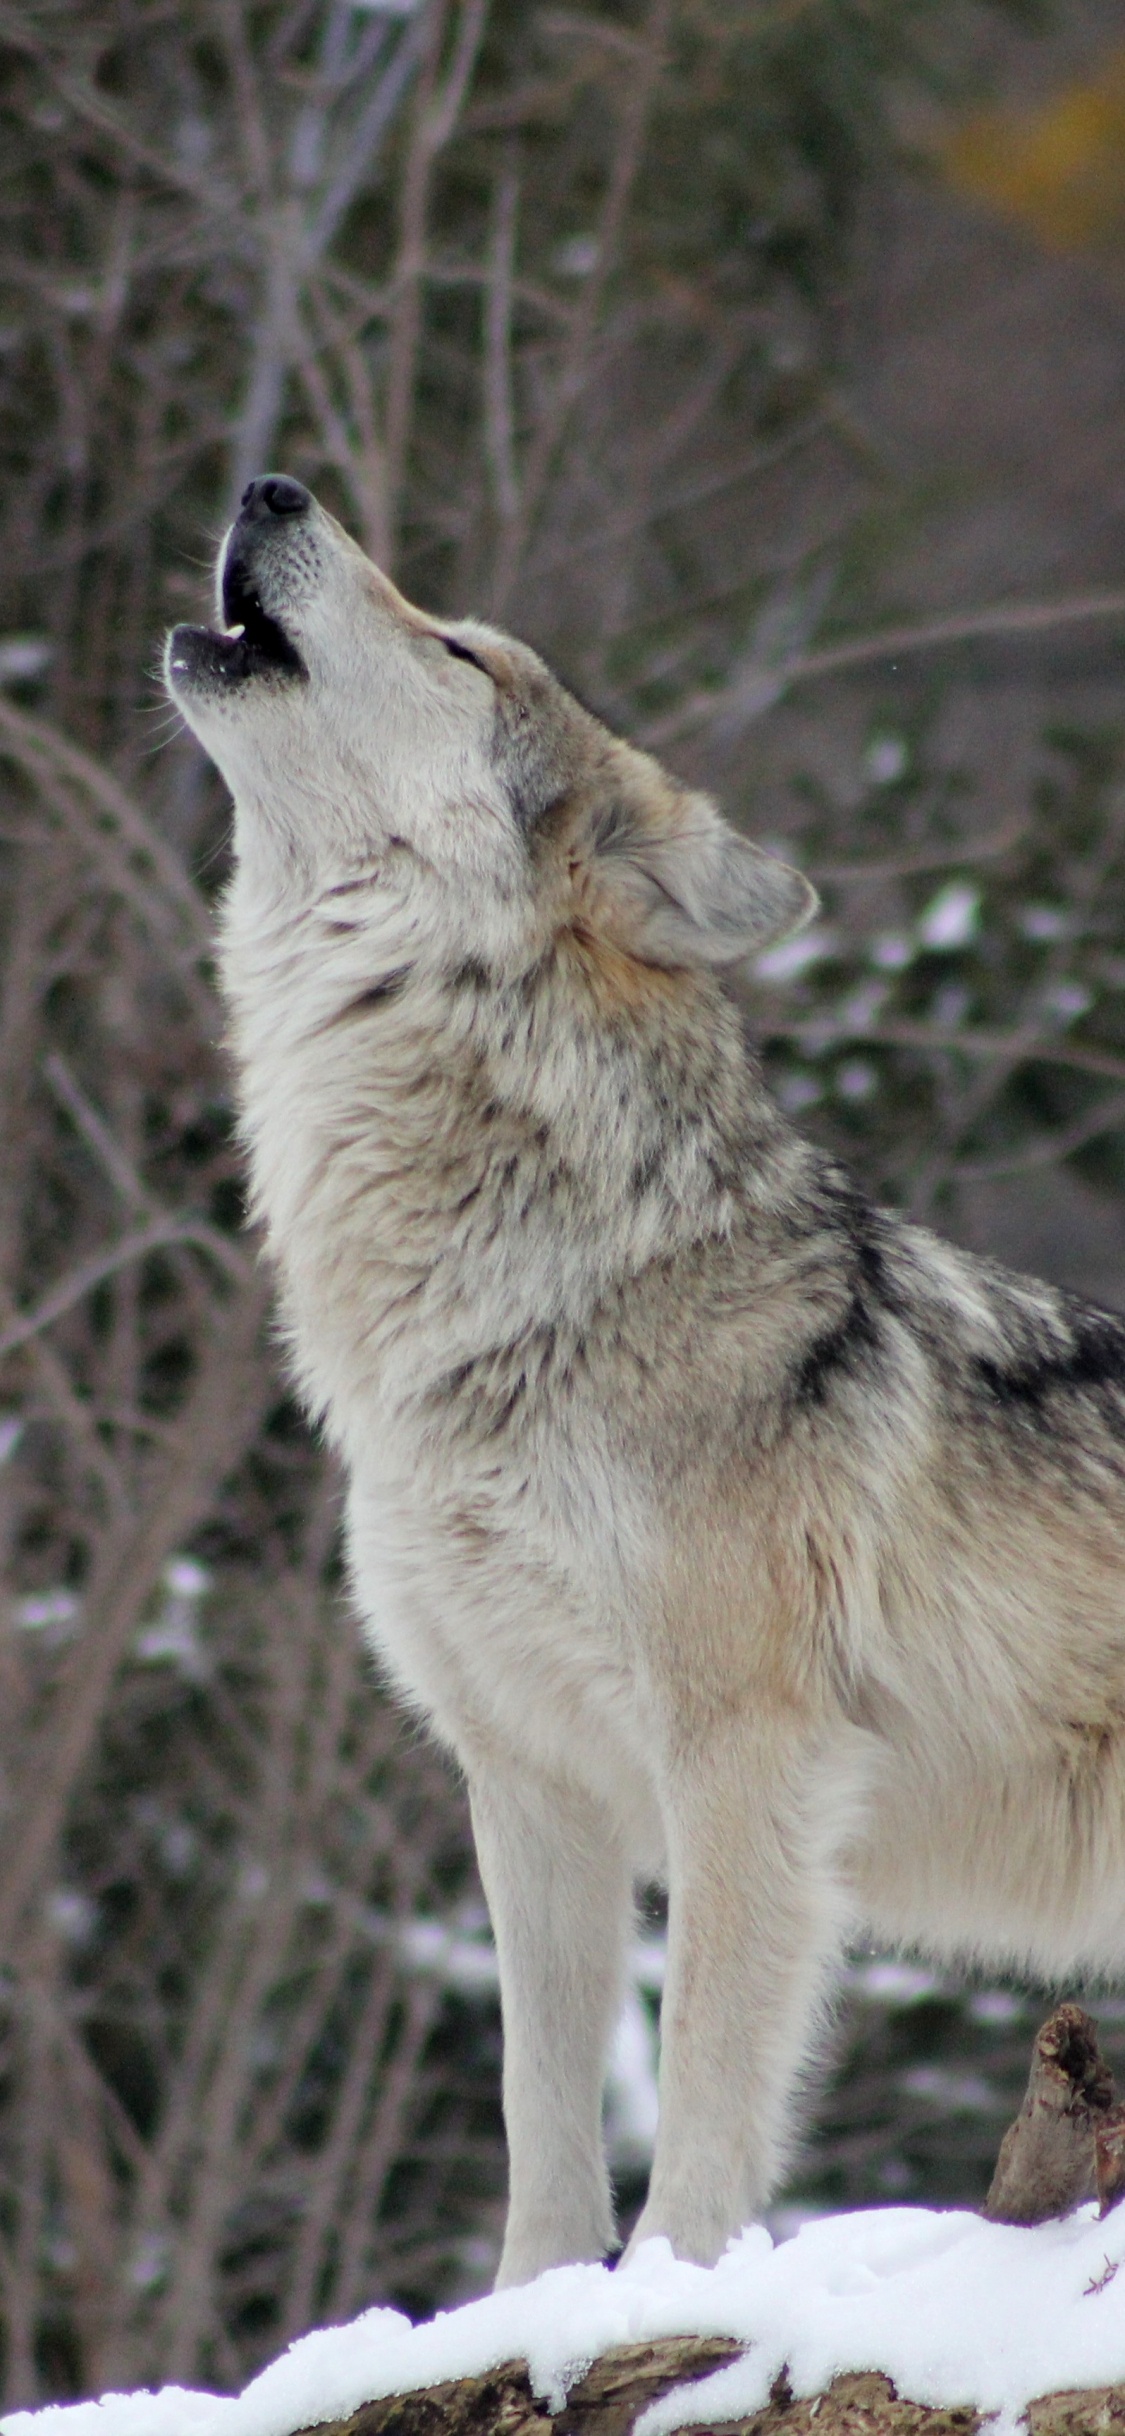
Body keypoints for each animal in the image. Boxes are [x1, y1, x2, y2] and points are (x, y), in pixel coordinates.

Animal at [167, 475, 1125, 2289]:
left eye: (461, 650)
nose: (270, 487)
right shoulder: (528, 1780)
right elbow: (543, 2107)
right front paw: (530, 2314)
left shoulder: (746, 1758)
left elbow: (696, 2089)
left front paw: (673, 2294)